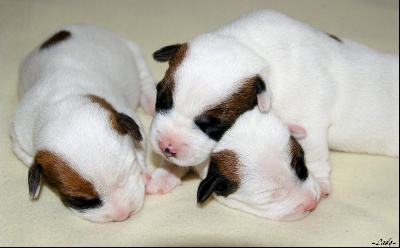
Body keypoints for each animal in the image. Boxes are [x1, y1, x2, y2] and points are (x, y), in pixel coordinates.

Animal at [9, 24, 156, 223]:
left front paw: (144, 172)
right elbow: (28, 157)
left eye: (129, 170)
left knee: (143, 74)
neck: (63, 100)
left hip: (132, 51)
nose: (124, 214)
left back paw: (150, 99)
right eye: (80, 200)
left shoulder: (128, 115)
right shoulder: (19, 136)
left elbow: (139, 144)